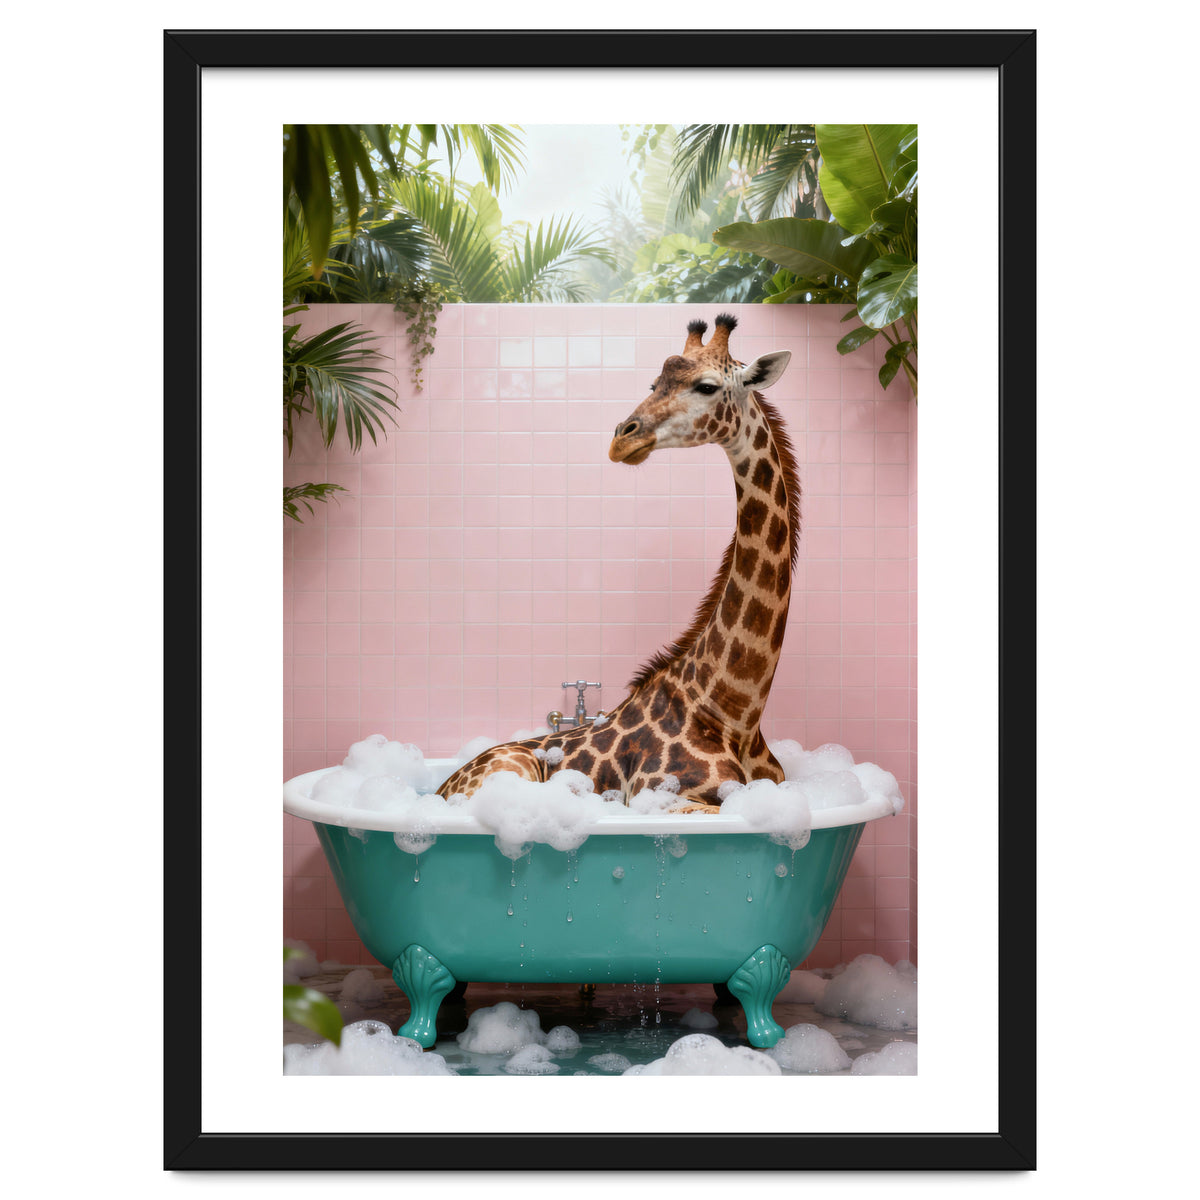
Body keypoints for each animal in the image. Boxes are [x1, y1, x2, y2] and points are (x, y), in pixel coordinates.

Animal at [437, 313, 798, 812]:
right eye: (653, 383)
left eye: (706, 386)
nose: (622, 439)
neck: (735, 712)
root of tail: (440, 788)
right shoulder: (661, 796)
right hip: (513, 770)